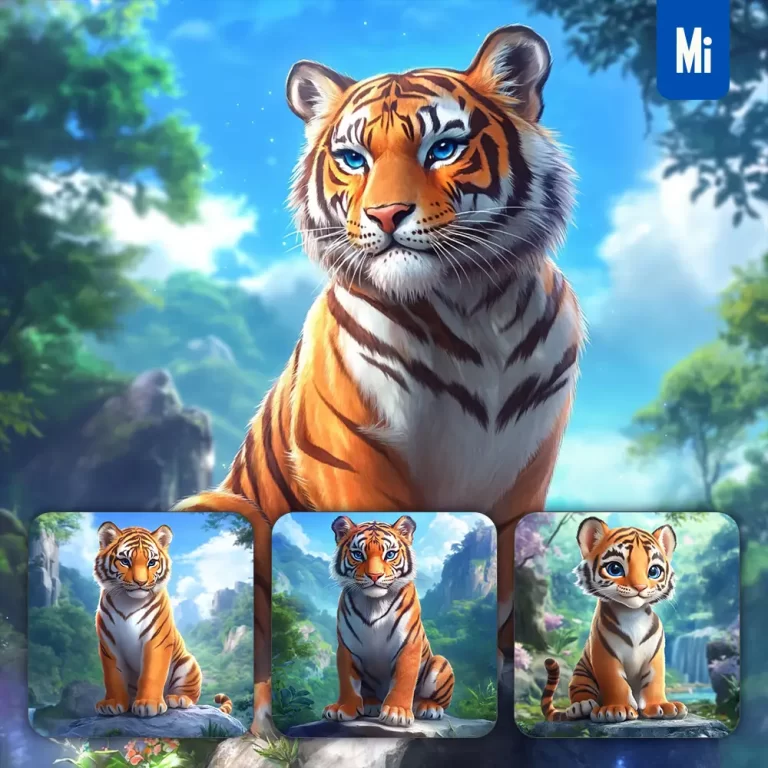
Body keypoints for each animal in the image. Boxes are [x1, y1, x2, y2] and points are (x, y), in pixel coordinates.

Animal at [93, 522, 232, 719]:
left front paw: (148, 704)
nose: (141, 583)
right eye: (125, 561)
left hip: (188, 663)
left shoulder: (156, 639)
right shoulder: (109, 644)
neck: (128, 601)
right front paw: (112, 704)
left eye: (152, 562)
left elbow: (152, 673)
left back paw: (177, 699)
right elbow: (113, 675)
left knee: (189, 694)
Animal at [324, 515, 454, 726]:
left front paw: (397, 713)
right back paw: (371, 703)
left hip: (440, 663)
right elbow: (347, 681)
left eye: (390, 554)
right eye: (358, 554)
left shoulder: (409, 644)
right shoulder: (346, 647)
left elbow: (404, 679)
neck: (374, 603)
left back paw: (428, 707)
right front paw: (343, 708)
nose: (375, 576)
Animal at [540, 517, 688, 724]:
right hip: (581, 674)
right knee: (579, 691)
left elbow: (655, 681)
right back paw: (581, 707)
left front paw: (661, 706)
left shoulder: (655, 655)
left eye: (654, 571)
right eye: (615, 569)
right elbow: (615, 681)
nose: (640, 587)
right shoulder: (605, 653)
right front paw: (615, 709)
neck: (632, 614)